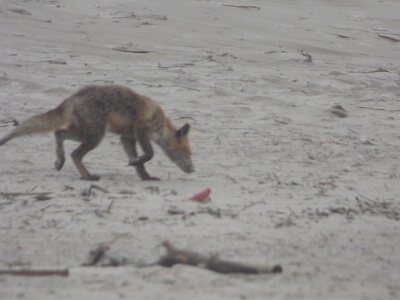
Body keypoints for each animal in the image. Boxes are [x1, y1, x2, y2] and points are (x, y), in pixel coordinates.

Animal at [0, 84, 194, 180]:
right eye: (186, 153)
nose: (193, 169)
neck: (160, 124)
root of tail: (75, 95)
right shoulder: (140, 129)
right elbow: (150, 154)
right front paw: (140, 164)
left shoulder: (127, 137)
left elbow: (139, 163)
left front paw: (145, 177)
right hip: (96, 135)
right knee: (75, 154)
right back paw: (87, 177)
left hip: (83, 132)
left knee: (59, 133)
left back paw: (60, 160)